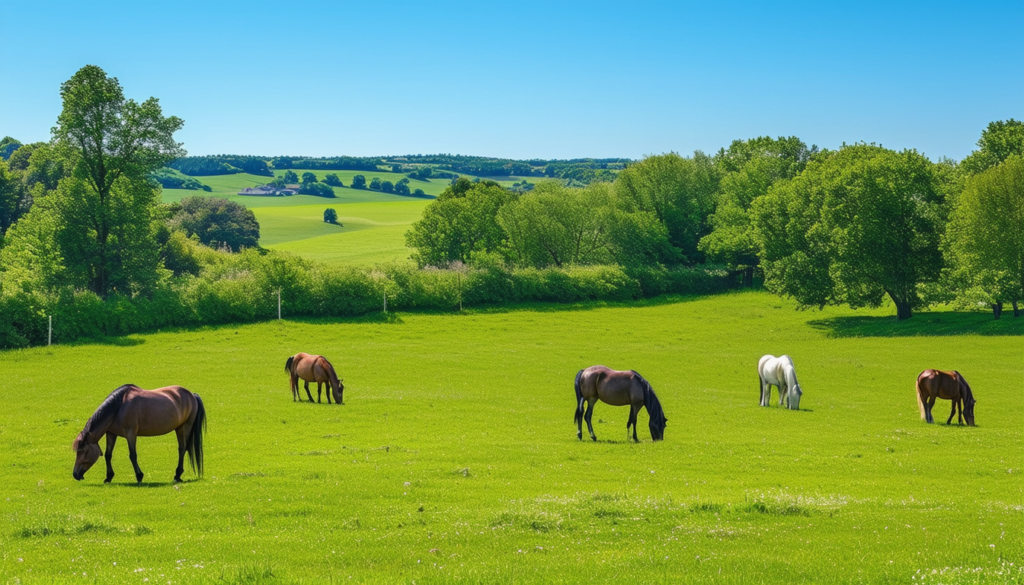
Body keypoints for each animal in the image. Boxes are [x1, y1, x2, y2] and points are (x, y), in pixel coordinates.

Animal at [72, 385, 206, 483]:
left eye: (83, 451)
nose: (75, 474)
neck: (119, 407)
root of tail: (192, 395)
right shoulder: (111, 434)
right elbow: (108, 455)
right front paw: (109, 477)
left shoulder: (130, 434)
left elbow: (133, 455)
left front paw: (139, 476)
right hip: (178, 428)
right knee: (181, 449)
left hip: (185, 427)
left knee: (182, 449)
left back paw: (177, 475)